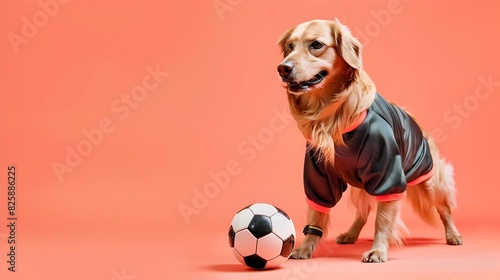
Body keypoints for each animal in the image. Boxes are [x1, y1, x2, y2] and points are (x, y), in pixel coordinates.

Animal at [276, 19, 462, 262]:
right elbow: (316, 214)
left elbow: (383, 219)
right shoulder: (318, 173)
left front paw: (378, 249)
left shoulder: (387, 172)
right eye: (290, 46)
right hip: (361, 185)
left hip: (429, 180)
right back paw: (350, 234)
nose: (282, 68)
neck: (330, 113)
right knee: (362, 212)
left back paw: (453, 234)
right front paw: (305, 247)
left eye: (316, 45)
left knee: (444, 208)